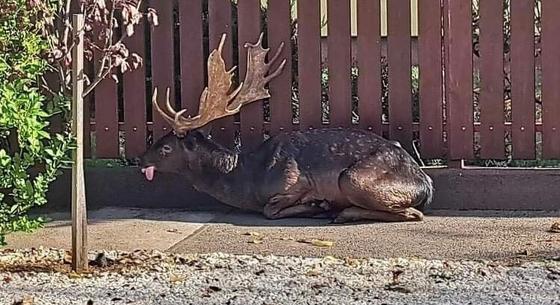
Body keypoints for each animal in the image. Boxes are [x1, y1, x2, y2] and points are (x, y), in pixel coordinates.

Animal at [139, 33, 434, 223]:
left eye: (165, 147)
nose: (140, 160)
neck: (248, 178)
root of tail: (426, 183)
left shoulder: (295, 181)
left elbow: (269, 210)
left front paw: (317, 204)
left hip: (353, 178)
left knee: (414, 214)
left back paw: (338, 211)